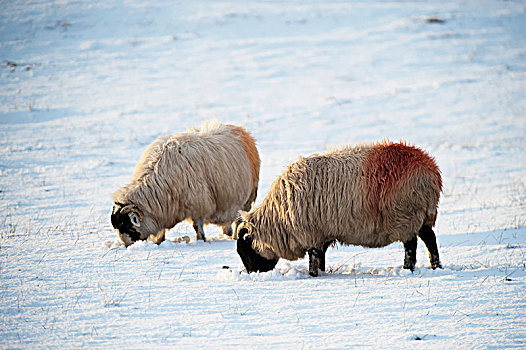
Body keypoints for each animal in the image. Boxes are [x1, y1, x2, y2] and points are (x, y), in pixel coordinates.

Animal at [112, 121, 260, 247]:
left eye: (128, 226)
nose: (127, 246)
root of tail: (240, 130)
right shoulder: (163, 210)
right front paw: (159, 241)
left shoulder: (198, 204)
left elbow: (197, 226)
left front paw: (201, 240)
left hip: (244, 200)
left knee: (238, 220)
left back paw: (234, 237)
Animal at [237, 142, 444, 276]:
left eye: (245, 250)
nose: (252, 274)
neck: (278, 218)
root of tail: (430, 170)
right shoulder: (322, 233)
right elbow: (320, 257)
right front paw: (322, 272)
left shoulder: (310, 233)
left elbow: (314, 258)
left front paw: (313, 276)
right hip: (423, 215)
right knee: (430, 239)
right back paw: (436, 266)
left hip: (405, 215)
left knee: (411, 245)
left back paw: (408, 269)